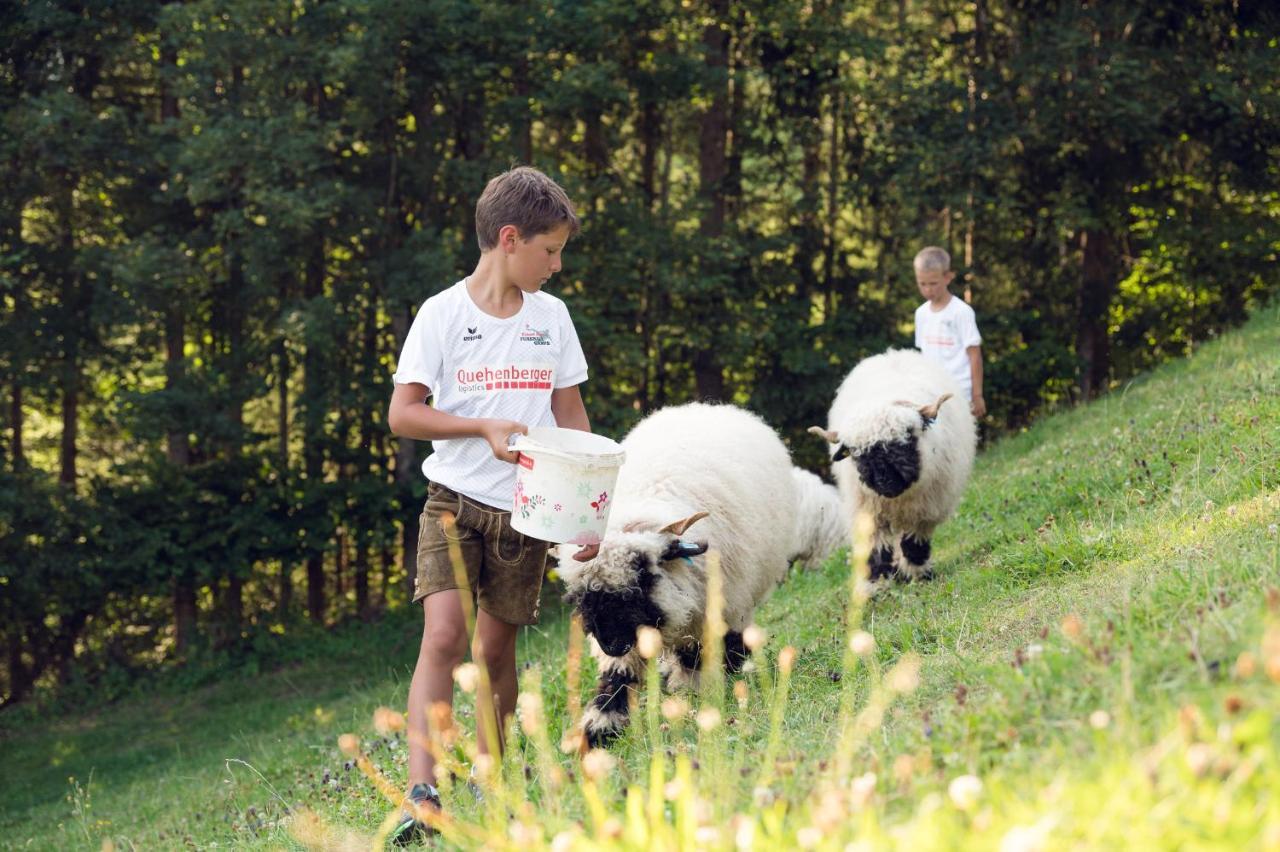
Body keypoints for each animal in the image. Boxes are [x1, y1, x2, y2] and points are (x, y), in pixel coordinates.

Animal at [555, 401, 793, 741]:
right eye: (583, 597)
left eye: (644, 578)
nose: (610, 643)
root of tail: (704, 407)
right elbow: (618, 673)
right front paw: (600, 725)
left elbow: (694, 653)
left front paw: (693, 689)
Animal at [808, 345, 977, 578]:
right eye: (858, 454)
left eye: (905, 440)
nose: (883, 480)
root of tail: (892, 353)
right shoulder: (869, 512)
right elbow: (876, 549)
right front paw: (880, 579)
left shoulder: (925, 511)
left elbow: (913, 543)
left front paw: (916, 573)